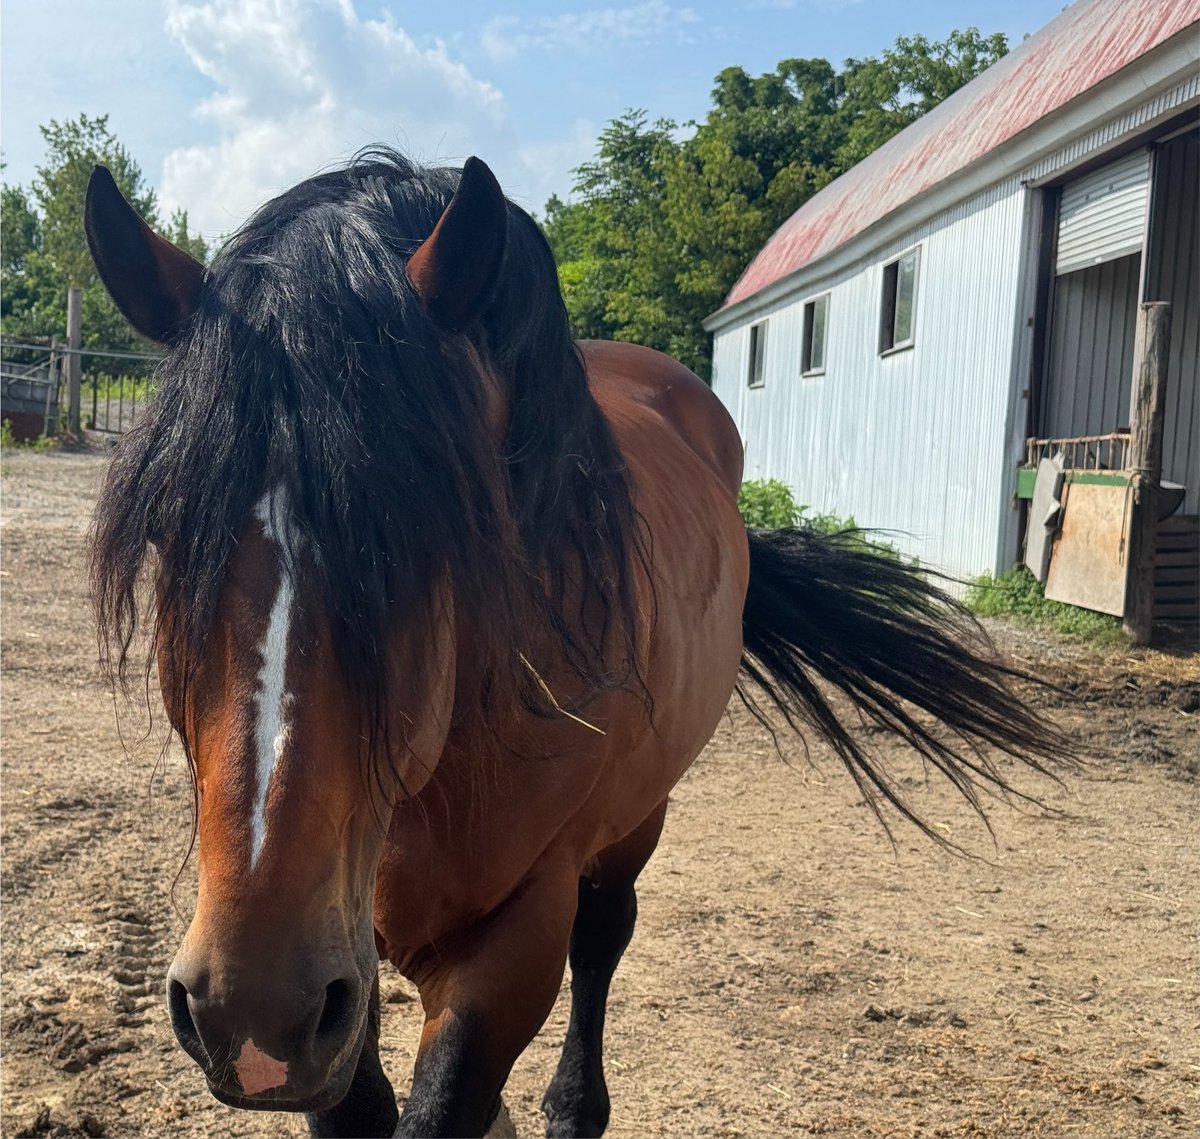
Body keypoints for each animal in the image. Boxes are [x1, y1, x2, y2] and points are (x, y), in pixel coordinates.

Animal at [85, 149, 1064, 1138]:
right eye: (169, 531)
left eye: (437, 534)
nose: (251, 1006)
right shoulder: (337, 982)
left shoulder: (510, 945)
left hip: (636, 817)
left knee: (604, 935)